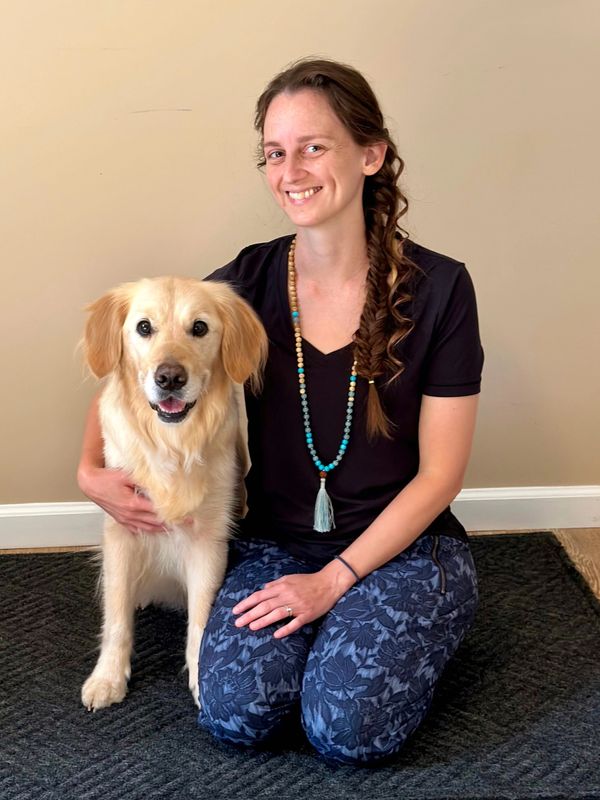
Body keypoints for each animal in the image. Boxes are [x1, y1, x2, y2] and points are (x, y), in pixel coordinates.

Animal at [79, 276, 268, 712]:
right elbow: (116, 618)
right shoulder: (121, 531)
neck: (173, 442)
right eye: (144, 327)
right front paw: (108, 677)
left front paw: (201, 679)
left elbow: (201, 618)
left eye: (199, 328)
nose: (169, 378)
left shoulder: (208, 539)